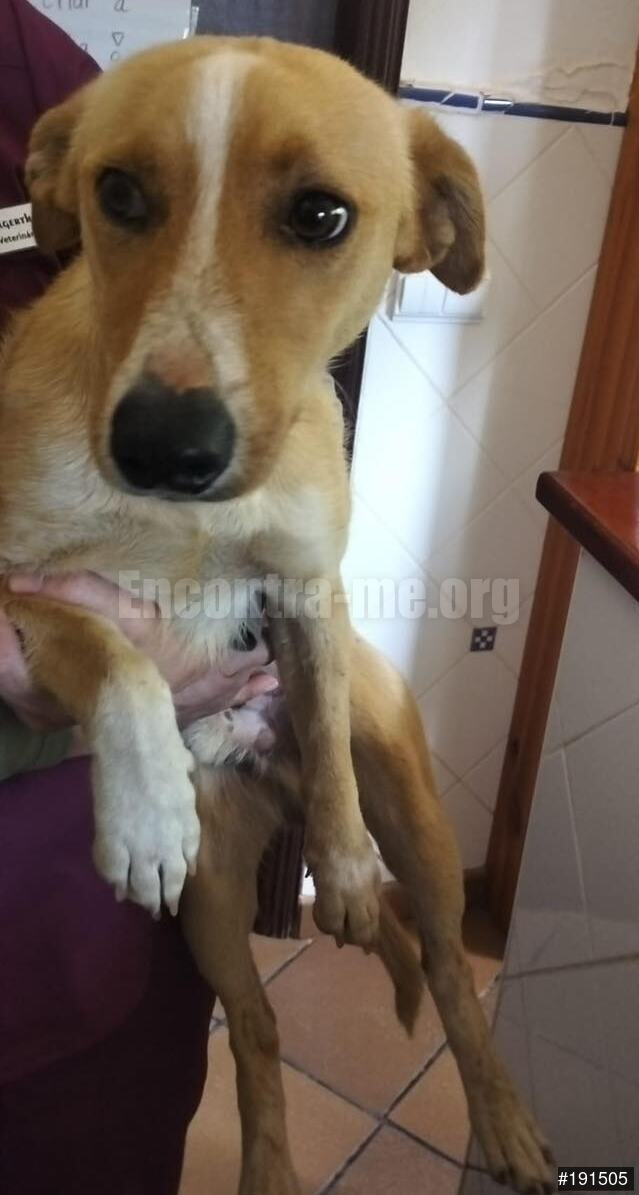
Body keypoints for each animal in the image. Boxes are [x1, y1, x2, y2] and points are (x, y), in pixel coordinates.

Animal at [0, 37, 554, 1194]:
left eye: (321, 215)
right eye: (119, 193)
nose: (164, 445)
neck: (178, 519)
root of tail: (266, 770)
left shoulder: (307, 588)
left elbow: (325, 727)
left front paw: (338, 865)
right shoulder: (22, 585)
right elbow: (114, 652)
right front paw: (142, 807)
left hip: (422, 831)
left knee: (445, 965)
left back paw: (502, 1121)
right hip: (210, 904)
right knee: (256, 1031)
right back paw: (269, 1168)